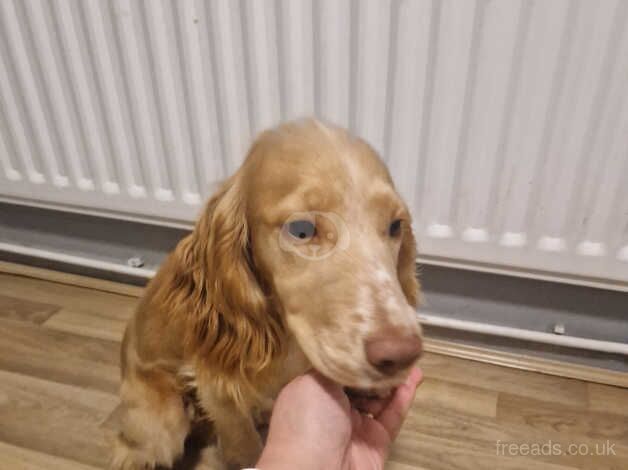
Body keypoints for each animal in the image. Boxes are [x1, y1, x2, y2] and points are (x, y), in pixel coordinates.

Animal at [112, 119, 422, 468]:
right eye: (302, 230)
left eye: (395, 226)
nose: (401, 354)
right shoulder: (218, 388)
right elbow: (244, 445)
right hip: (163, 423)